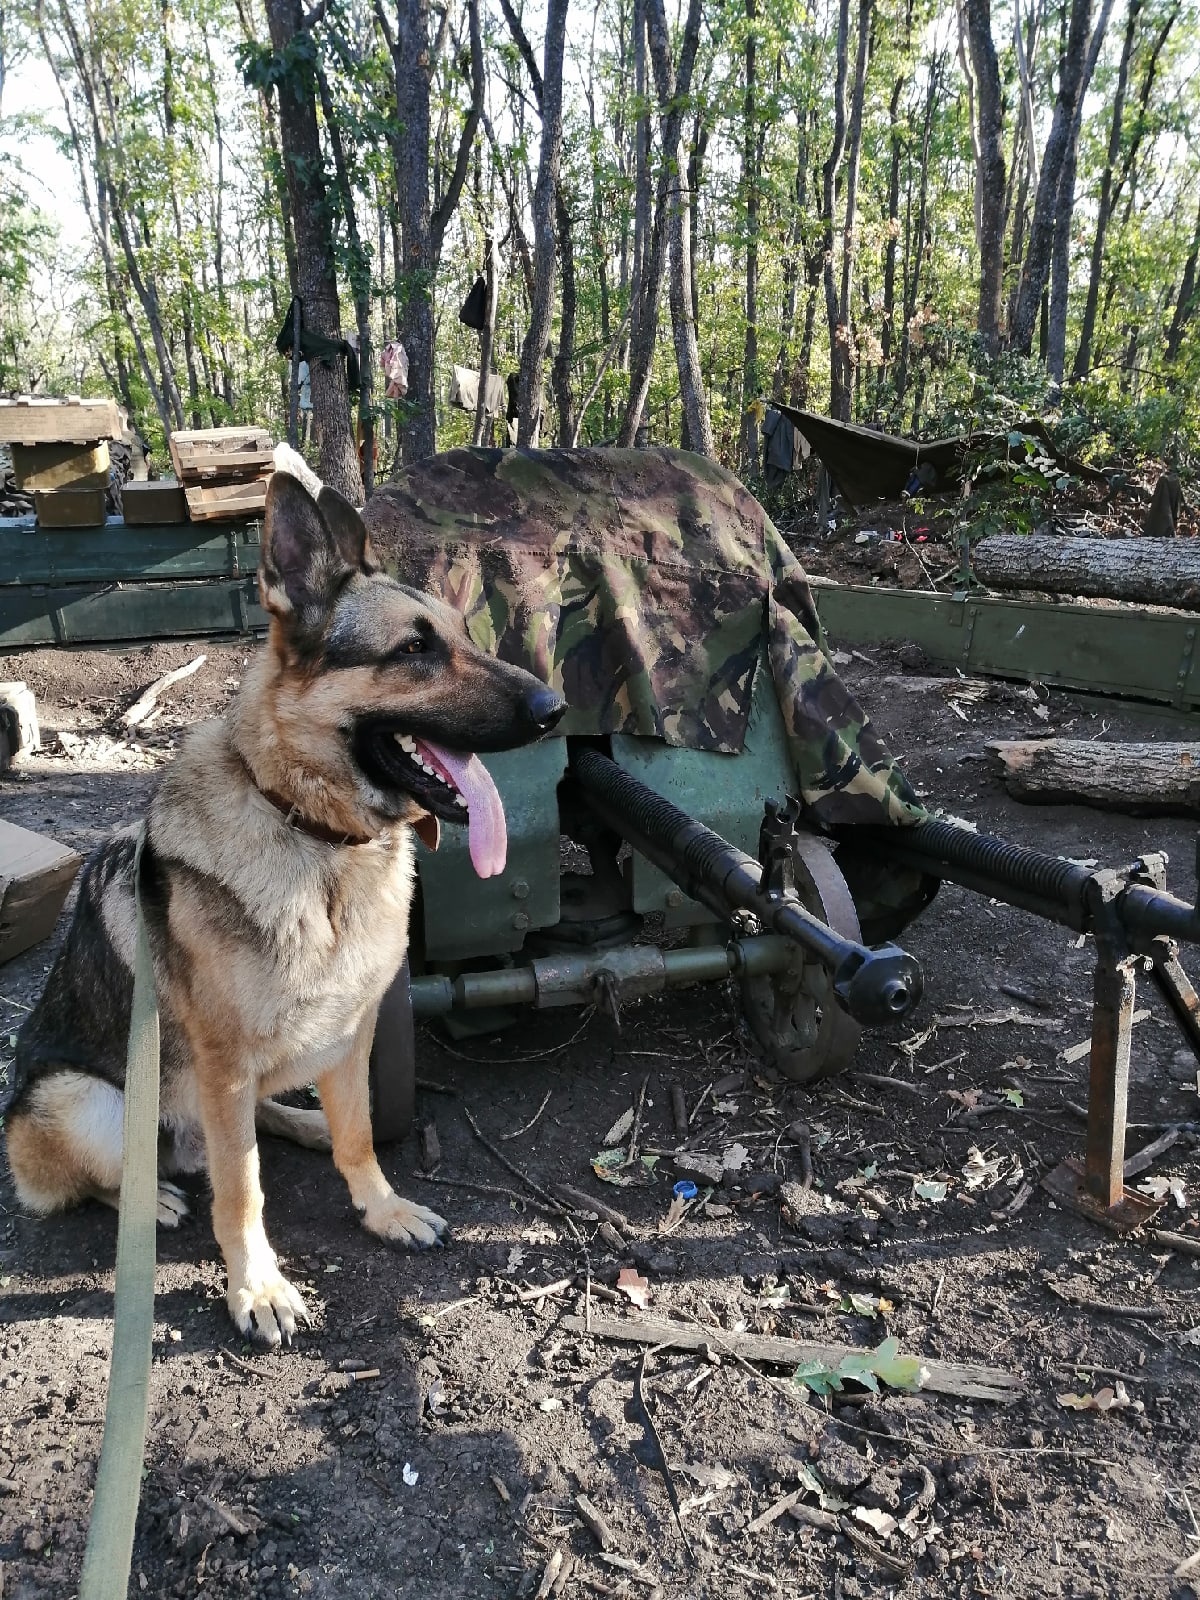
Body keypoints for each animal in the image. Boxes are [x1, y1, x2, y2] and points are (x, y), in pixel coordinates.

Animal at [4, 448, 569, 1350]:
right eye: (414, 650)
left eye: (459, 636)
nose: (558, 710)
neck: (315, 837)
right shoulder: (224, 1065)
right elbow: (242, 1191)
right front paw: (258, 1286)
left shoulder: (349, 1033)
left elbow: (359, 1133)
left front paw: (380, 1206)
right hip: (86, 1100)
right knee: (135, 1169)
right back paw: (152, 1196)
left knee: (250, 1128)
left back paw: (297, 1124)